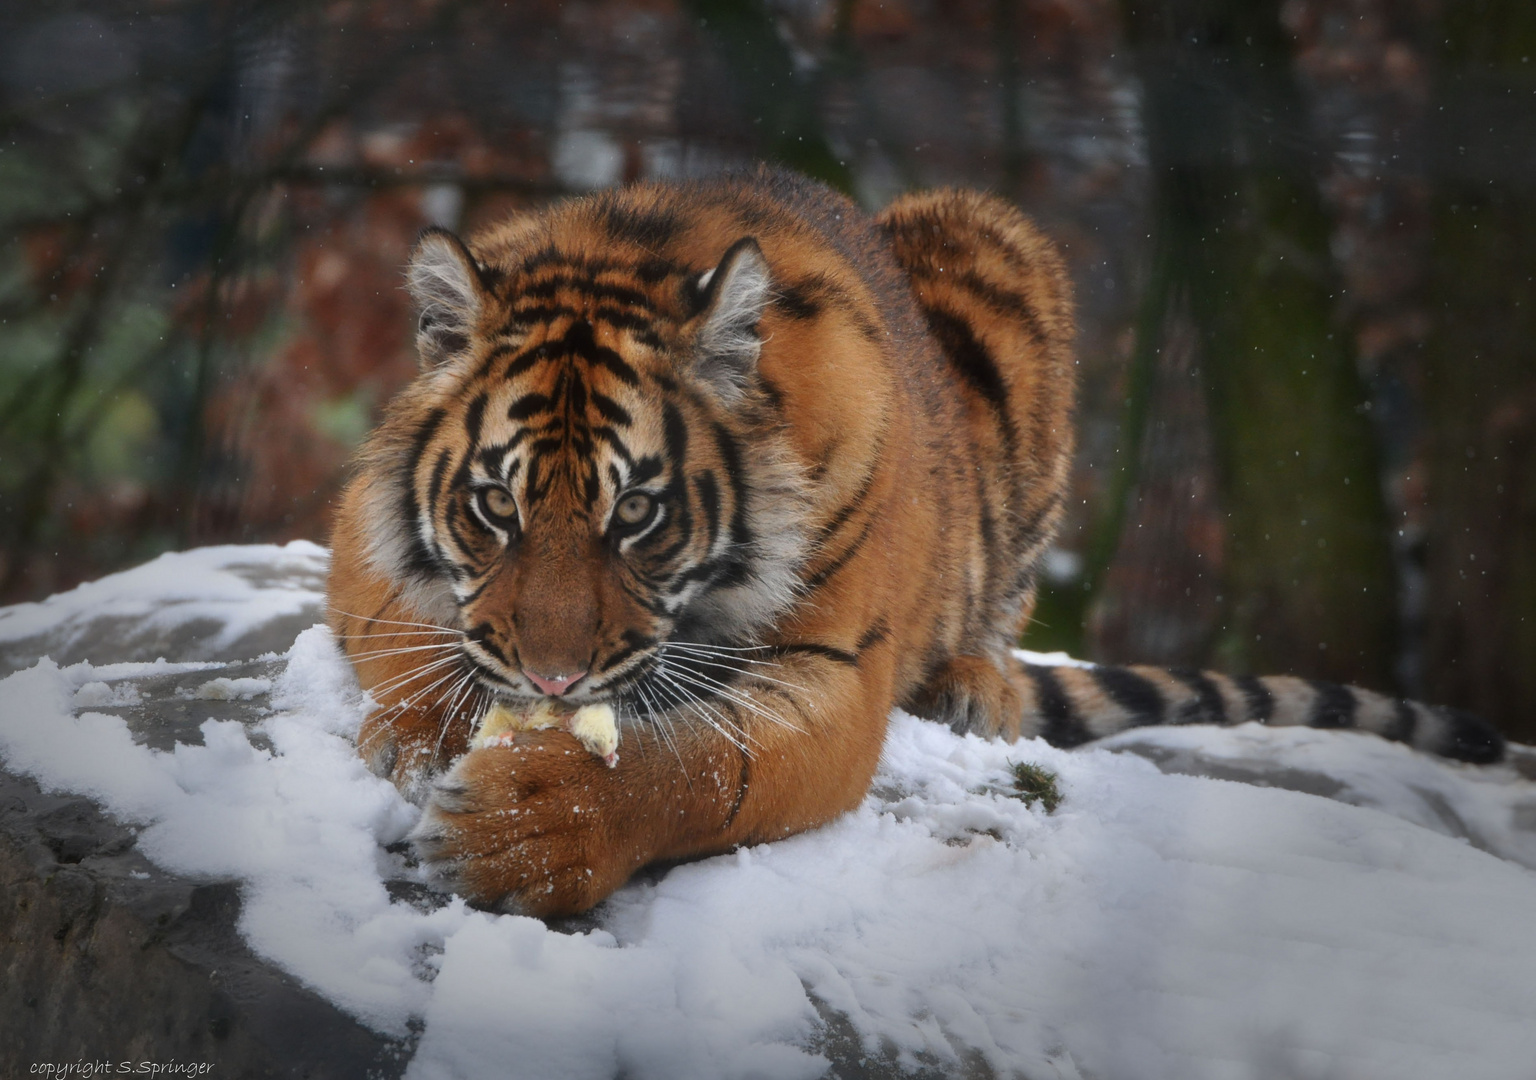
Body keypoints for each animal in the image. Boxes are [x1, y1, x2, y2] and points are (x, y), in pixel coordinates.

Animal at [327, 164, 1499, 915]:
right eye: (496, 506)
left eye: (639, 516)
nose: (556, 683)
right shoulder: (361, 532)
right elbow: (419, 637)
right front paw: (428, 734)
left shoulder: (835, 675)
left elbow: (688, 768)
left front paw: (526, 828)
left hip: (998, 251)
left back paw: (974, 685)